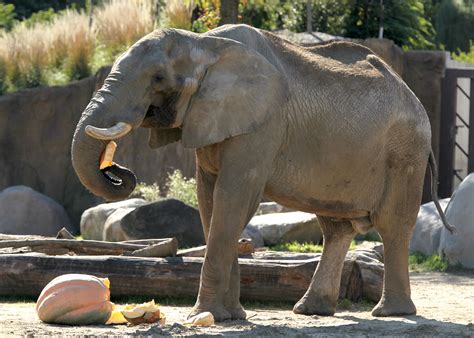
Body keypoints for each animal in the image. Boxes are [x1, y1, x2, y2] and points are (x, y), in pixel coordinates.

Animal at [72, 24, 454, 322]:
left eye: (158, 78)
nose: (118, 170)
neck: (204, 44)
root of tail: (415, 98)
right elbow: (210, 201)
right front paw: (229, 316)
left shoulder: (262, 125)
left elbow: (234, 196)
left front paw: (204, 315)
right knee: (336, 228)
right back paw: (311, 310)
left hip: (405, 152)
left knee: (392, 226)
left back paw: (391, 313)